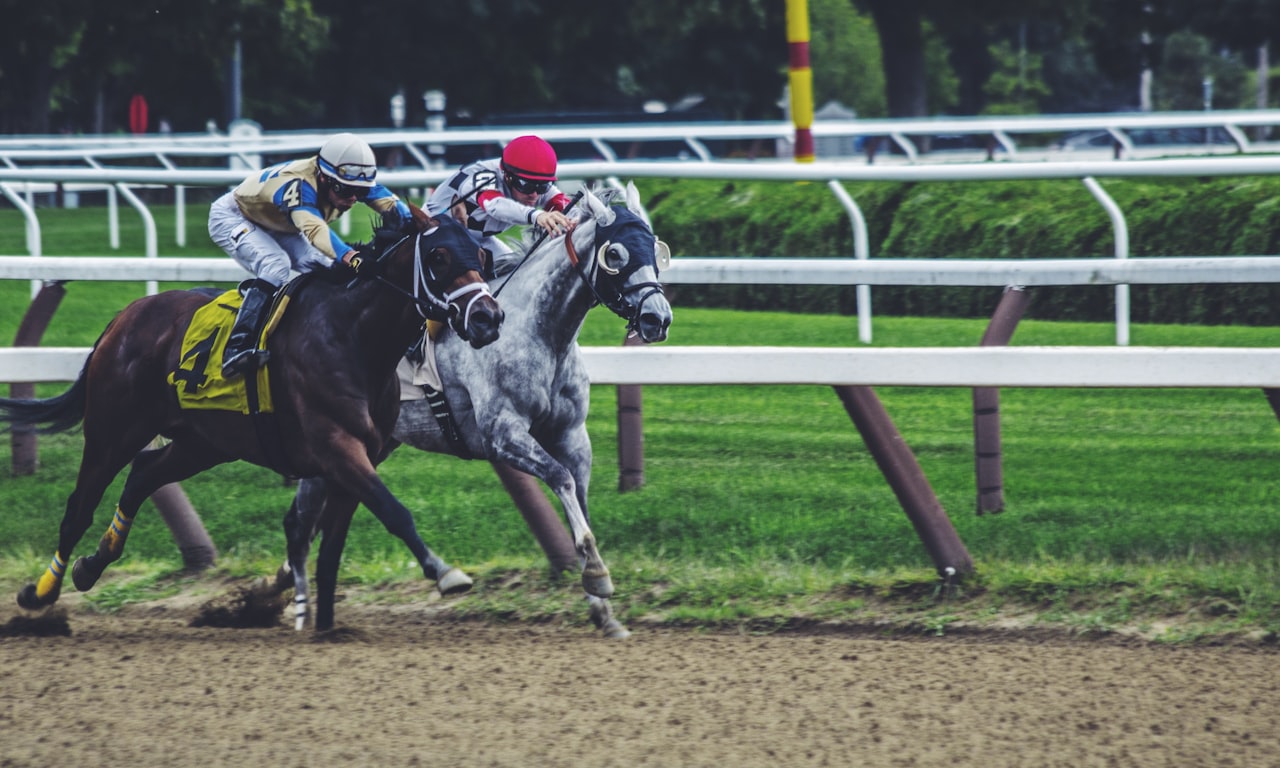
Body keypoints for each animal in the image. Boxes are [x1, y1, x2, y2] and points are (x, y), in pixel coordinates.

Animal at [2, 211, 501, 624]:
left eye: (482, 255)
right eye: (438, 257)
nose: (488, 317)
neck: (353, 336)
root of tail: (123, 318)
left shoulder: (360, 456)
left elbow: (332, 545)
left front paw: (324, 625)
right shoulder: (337, 447)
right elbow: (395, 512)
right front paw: (445, 572)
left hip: (203, 442)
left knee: (142, 475)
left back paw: (89, 567)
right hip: (113, 430)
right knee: (78, 509)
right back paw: (41, 593)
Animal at [284, 184, 675, 634]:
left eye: (657, 249)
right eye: (616, 255)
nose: (657, 318)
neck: (539, 331)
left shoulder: (572, 434)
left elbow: (580, 497)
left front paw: (603, 609)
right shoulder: (503, 434)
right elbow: (560, 478)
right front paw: (596, 575)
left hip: (369, 448)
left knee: (306, 521)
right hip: (331, 441)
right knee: (299, 524)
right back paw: (297, 609)